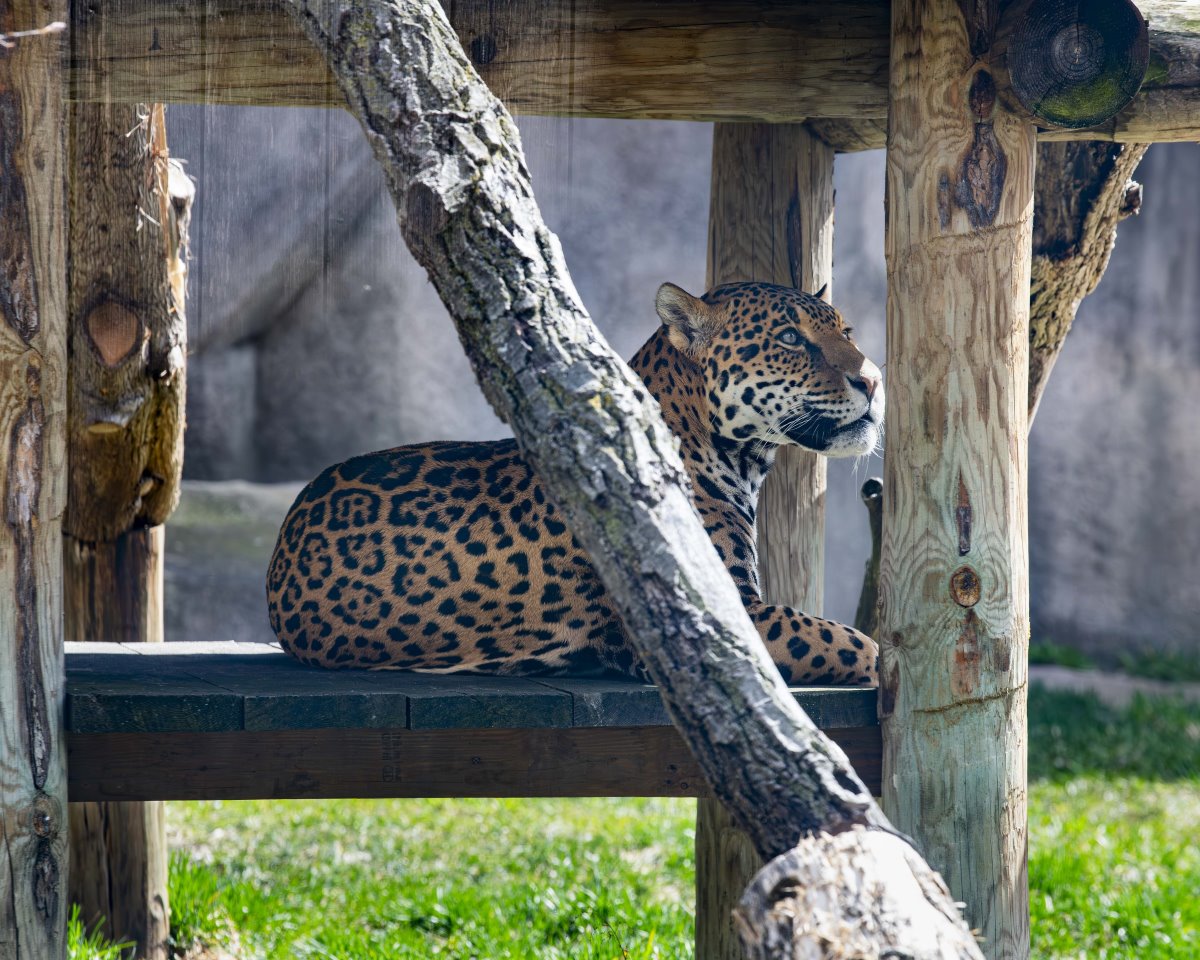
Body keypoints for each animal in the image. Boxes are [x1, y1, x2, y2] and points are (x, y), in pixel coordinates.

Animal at [266, 281, 884, 686]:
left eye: (847, 331)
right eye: (789, 339)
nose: (873, 381)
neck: (739, 460)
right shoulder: (718, 618)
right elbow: (850, 642)